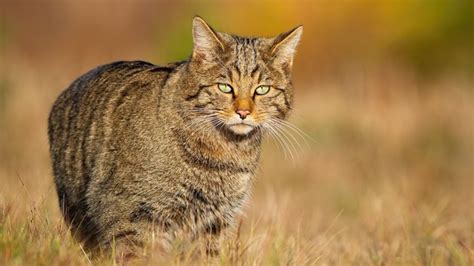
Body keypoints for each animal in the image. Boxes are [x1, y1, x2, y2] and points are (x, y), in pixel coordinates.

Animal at [48, 17, 304, 256]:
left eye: (262, 90)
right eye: (224, 87)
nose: (243, 112)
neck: (226, 152)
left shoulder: (215, 221)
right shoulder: (131, 212)